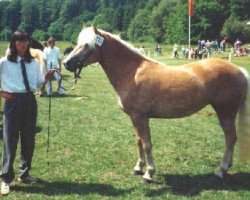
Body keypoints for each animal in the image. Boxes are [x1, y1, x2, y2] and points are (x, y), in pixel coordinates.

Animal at [63, 25, 250, 183]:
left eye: (87, 45)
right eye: (78, 43)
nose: (66, 63)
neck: (132, 72)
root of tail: (240, 70)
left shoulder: (142, 117)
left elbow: (147, 144)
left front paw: (149, 173)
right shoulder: (134, 118)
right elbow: (138, 141)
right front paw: (138, 167)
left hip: (226, 113)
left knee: (230, 138)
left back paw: (221, 170)